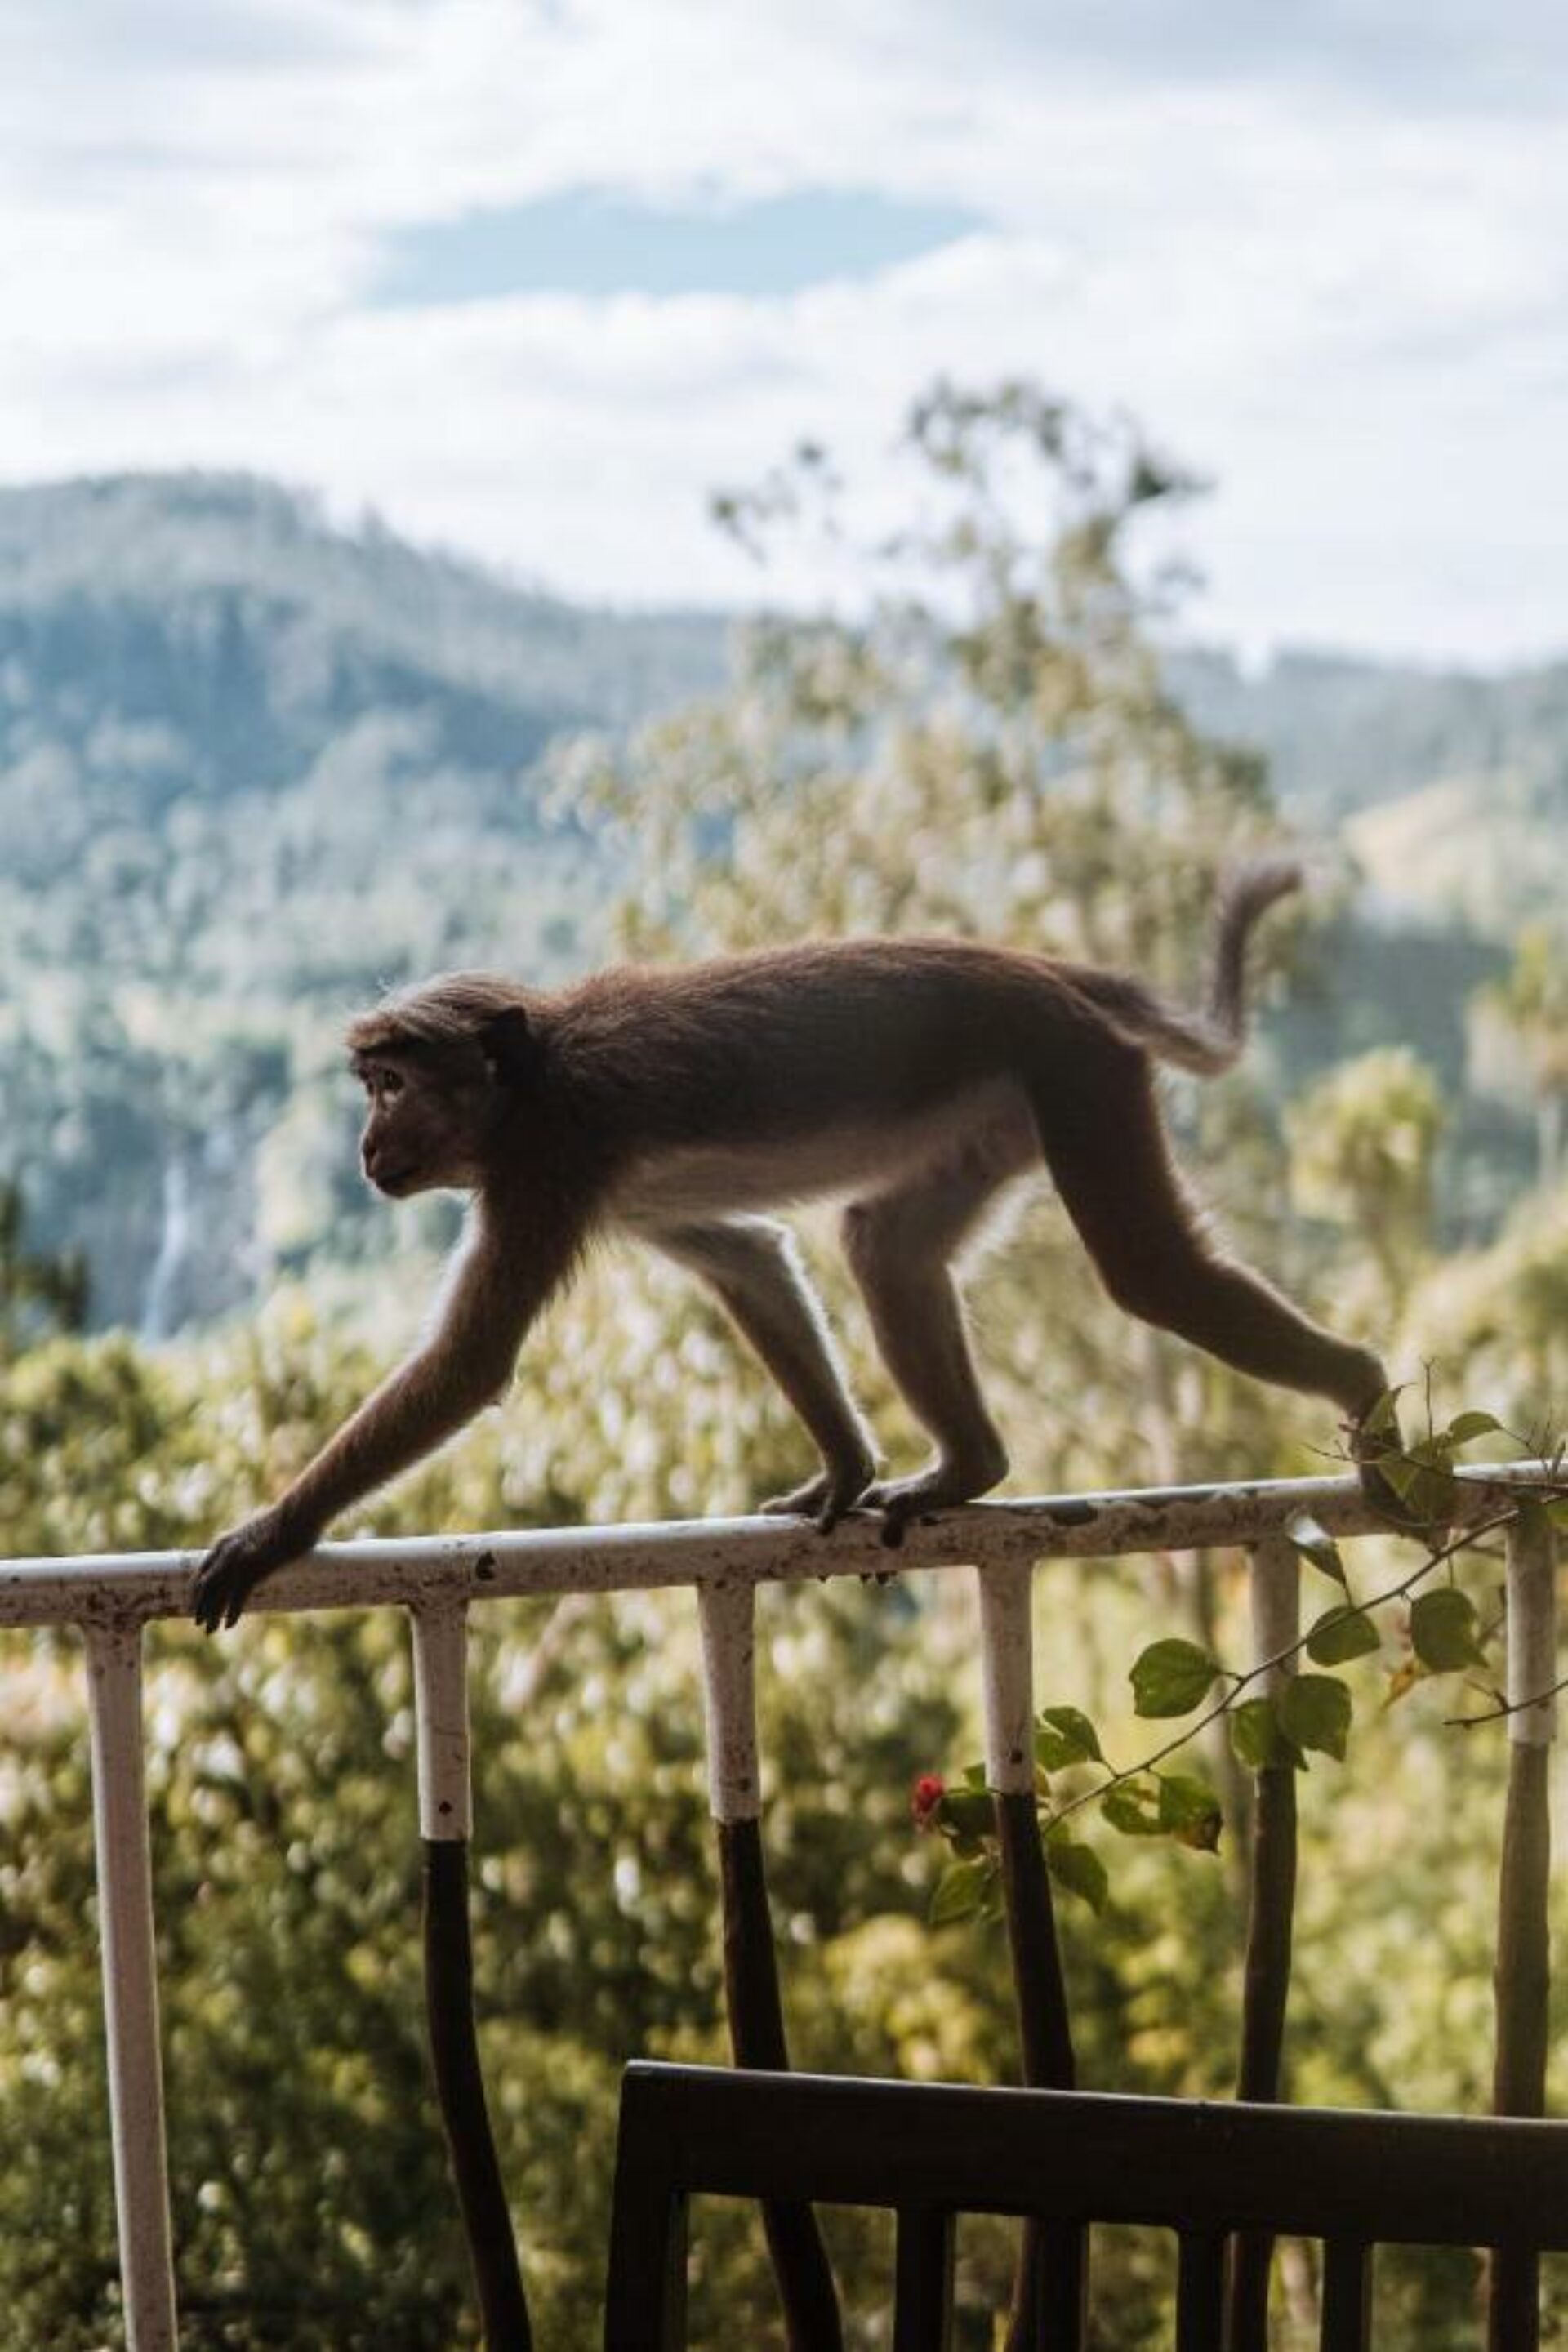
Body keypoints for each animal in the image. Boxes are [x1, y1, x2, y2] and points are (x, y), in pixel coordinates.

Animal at [190, 870, 1392, 1637]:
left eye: (394, 1084)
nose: (365, 1147)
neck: (530, 1081)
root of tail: (1041, 971)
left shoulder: (549, 1168)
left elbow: (470, 1365)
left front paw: (272, 1532)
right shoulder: (615, 1192)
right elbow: (750, 1259)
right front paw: (845, 1467)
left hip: (1076, 1070)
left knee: (1146, 1270)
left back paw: (1366, 1389)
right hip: (1005, 1106)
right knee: (885, 1246)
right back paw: (969, 1466)